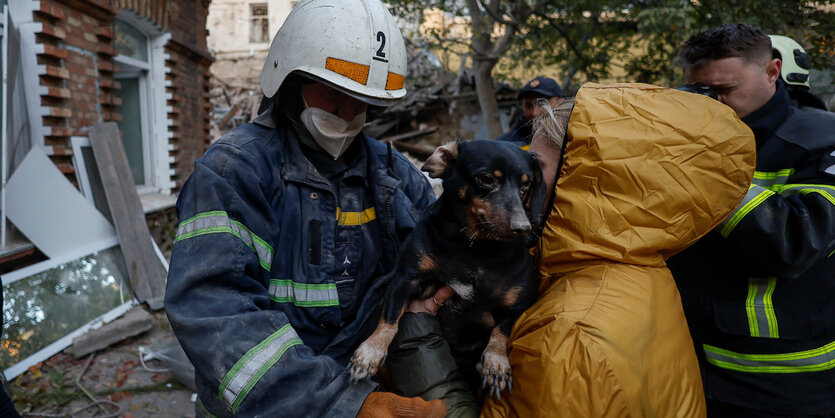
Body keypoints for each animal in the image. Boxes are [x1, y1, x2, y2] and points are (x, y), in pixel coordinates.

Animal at [350, 140, 544, 398]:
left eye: (526, 186)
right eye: (486, 179)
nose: (522, 227)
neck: (476, 250)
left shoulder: (520, 303)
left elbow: (501, 331)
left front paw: (497, 363)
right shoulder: (405, 280)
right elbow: (390, 320)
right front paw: (370, 352)